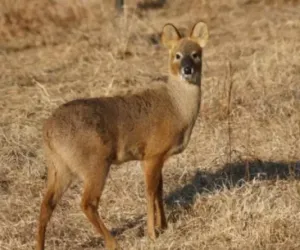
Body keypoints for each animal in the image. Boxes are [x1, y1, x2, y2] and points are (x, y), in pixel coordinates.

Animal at [35, 22, 209, 250]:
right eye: (177, 55)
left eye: (196, 54)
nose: (187, 70)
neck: (176, 107)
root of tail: (48, 131)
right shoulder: (152, 154)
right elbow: (150, 192)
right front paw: (153, 234)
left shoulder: (156, 157)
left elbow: (159, 190)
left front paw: (163, 226)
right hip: (95, 163)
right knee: (87, 203)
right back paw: (113, 242)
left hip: (59, 167)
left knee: (47, 204)